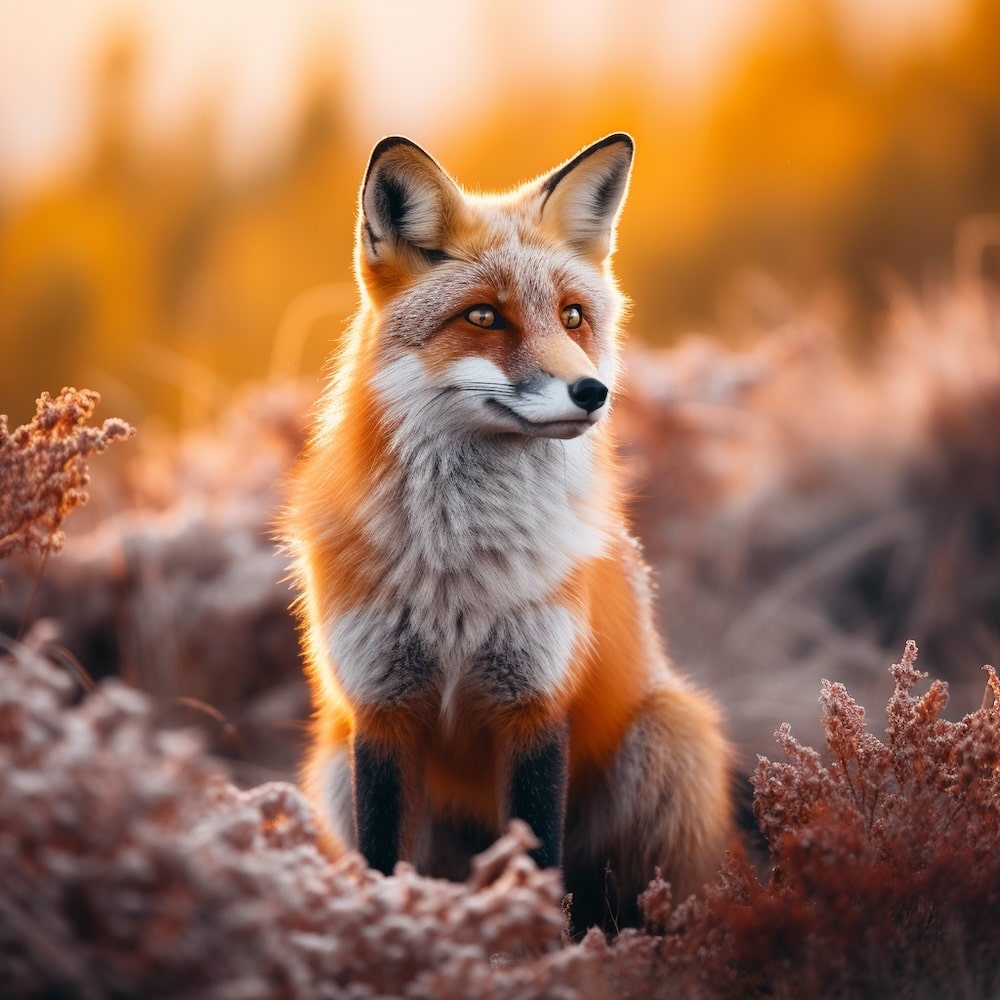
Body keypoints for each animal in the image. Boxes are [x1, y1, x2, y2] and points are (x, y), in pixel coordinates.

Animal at [281, 133, 732, 931]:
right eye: (485, 317)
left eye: (574, 316)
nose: (593, 392)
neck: (458, 573)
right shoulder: (382, 708)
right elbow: (382, 860)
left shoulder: (534, 703)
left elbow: (537, 857)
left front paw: (531, 942)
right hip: (333, 764)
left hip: (671, 735)